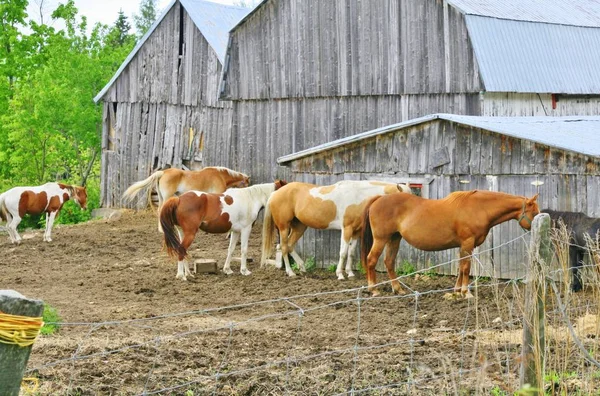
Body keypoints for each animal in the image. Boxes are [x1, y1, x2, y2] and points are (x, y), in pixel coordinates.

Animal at [260, 180, 410, 276]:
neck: (358, 196)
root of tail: (275, 194)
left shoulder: (355, 232)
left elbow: (351, 253)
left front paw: (350, 273)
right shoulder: (346, 229)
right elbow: (343, 253)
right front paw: (340, 274)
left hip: (299, 227)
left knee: (290, 246)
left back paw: (302, 268)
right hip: (284, 227)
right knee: (284, 247)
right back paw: (290, 272)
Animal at [358, 191, 540, 296]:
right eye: (534, 212)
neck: (479, 208)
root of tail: (378, 199)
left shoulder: (464, 246)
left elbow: (460, 267)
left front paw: (457, 290)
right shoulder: (467, 243)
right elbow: (466, 268)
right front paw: (466, 292)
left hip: (394, 238)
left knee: (389, 262)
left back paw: (398, 289)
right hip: (381, 239)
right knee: (371, 260)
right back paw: (373, 289)